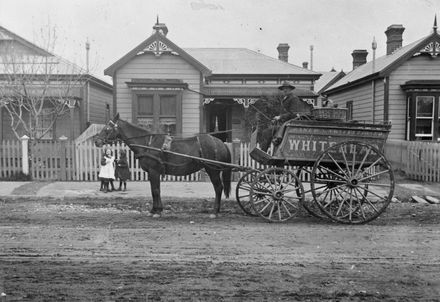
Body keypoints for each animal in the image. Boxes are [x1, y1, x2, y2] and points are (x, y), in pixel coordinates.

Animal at [94, 113, 232, 217]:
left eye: (107, 128)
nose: (97, 141)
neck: (147, 143)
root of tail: (220, 142)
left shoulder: (154, 171)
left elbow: (155, 190)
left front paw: (157, 211)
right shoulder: (154, 172)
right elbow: (155, 190)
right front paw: (155, 209)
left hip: (212, 170)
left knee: (218, 188)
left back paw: (215, 211)